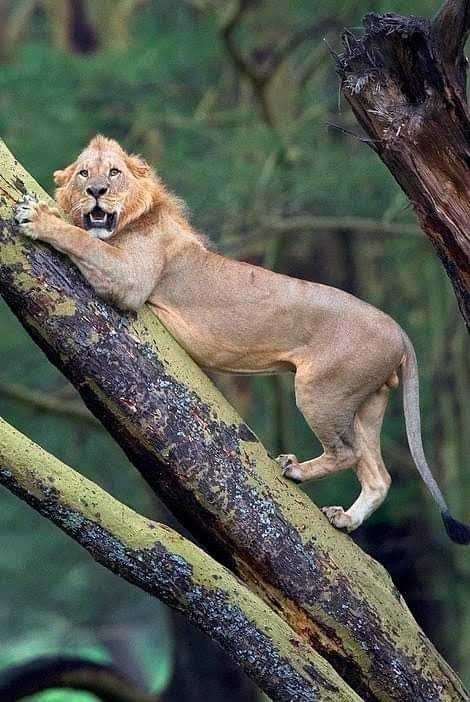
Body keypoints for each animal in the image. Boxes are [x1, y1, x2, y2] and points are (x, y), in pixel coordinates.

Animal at [14, 135, 470, 544]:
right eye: (83, 174)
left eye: (114, 173)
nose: (96, 192)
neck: (136, 219)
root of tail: (399, 331)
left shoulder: (130, 281)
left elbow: (82, 239)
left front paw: (39, 217)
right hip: (367, 402)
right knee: (379, 474)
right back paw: (346, 519)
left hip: (322, 388)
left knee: (348, 452)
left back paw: (296, 469)